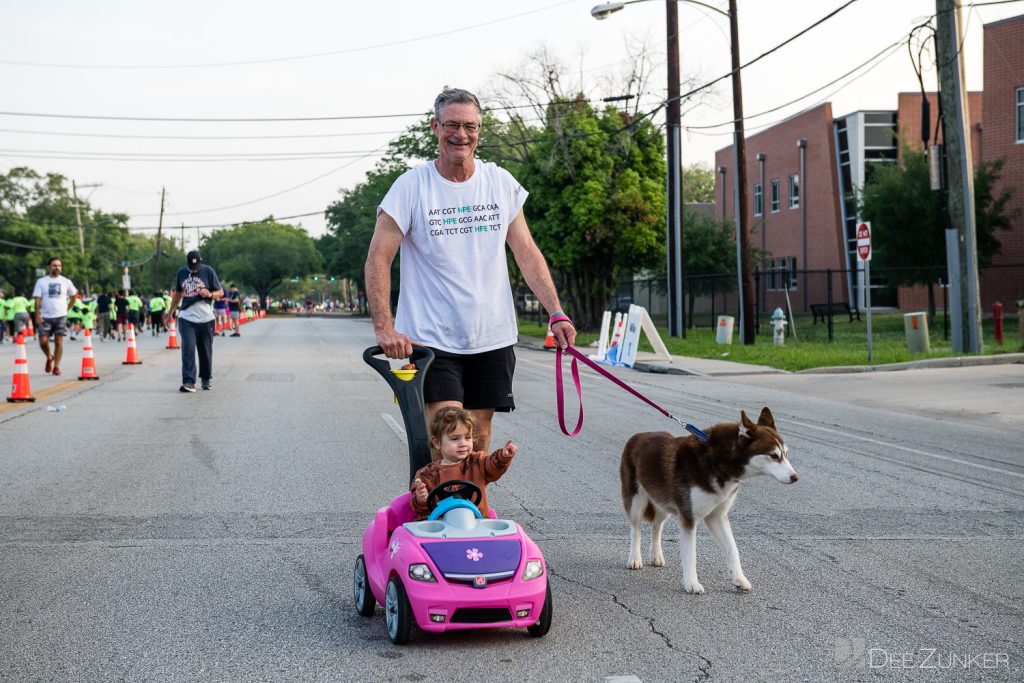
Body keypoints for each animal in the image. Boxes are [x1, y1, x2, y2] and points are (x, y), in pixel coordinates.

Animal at [614, 409, 798, 593]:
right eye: (774, 456)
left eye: (786, 454)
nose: (795, 477)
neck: (717, 461)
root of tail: (639, 435)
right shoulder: (688, 517)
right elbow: (691, 555)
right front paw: (692, 584)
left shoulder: (717, 516)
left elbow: (733, 549)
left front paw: (739, 579)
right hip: (636, 501)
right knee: (636, 529)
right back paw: (635, 558)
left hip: (661, 502)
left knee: (657, 526)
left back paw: (656, 555)